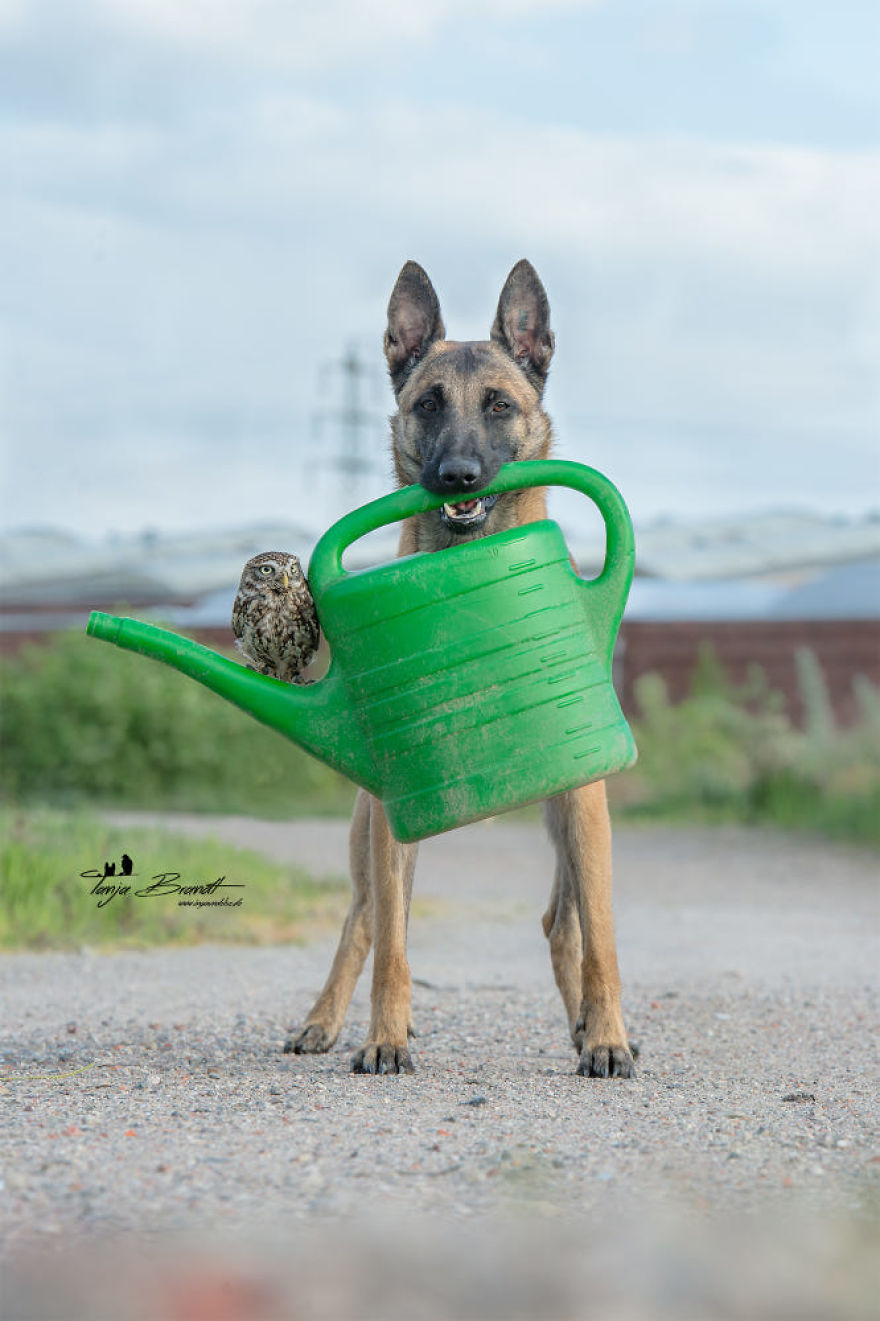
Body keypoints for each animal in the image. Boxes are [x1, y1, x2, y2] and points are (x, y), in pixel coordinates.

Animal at [284, 262, 634, 1077]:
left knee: (561, 921)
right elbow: (392, 944)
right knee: (365, 920)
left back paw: (584, 1026)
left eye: (500, 404)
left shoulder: (586, 799)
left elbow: (601, 938)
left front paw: (607, 1037)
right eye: (428, 404)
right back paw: (324, 1021)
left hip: (568, 814)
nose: (457, 475)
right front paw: (385, 1036)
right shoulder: (394, 824)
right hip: (370, 827)